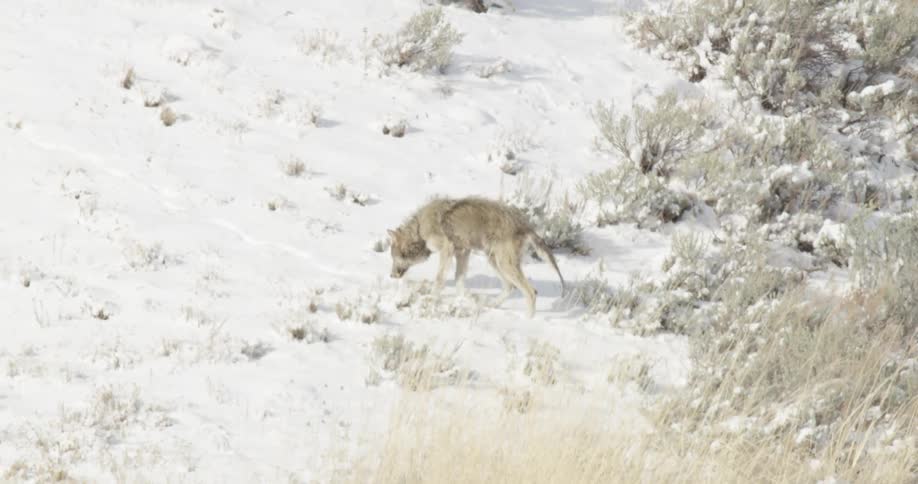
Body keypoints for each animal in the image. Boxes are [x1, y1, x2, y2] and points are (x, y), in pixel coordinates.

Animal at [387, 196, 565, 318]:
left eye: (394, 257)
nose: (391, 275)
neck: (420, 228)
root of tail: (525, 225)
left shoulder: (447, 249)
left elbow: (439, 280)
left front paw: (430, 299)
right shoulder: (463, 252)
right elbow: (459, 280)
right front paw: (463, 301)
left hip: (503, 264)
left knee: (530, 292)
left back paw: (527, 321)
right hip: (494, 261)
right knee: (510, 287)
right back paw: (491, 306)